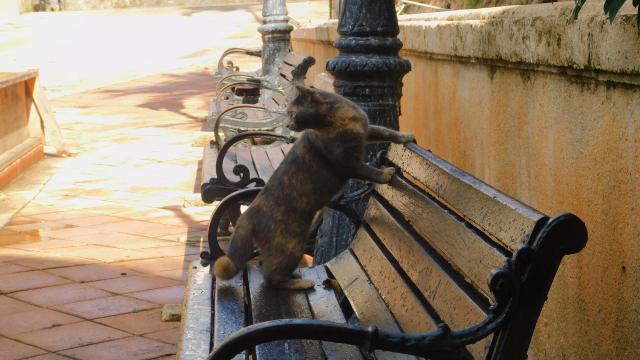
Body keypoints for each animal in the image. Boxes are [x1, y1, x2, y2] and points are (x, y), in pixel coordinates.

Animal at [215, 85, 416, 290]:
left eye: (292, 113)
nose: (289, 125)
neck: (339, 120)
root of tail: (248, 216)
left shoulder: (367, 131)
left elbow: (386, 131)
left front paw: (405, 136)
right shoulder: (347, 163)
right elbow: (369, 171)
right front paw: (385, 174)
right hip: (291, 246)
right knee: (270, 278)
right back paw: (301, 283)